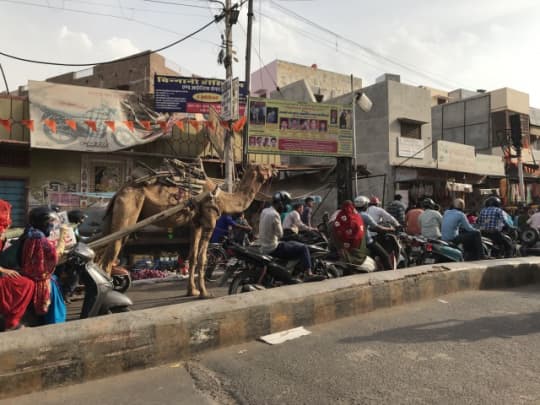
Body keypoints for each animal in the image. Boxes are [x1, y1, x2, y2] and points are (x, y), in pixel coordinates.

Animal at [98, 161, 274, 296]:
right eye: (264, 167)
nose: (274, 169)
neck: (222, 198)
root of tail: (119, 191)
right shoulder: (209, 220)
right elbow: (203, 258)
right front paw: (204, 293)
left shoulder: (196, 223)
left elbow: (193, 257)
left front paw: (192, 291)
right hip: (128, 209)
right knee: (109, 257)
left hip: (116, 216)